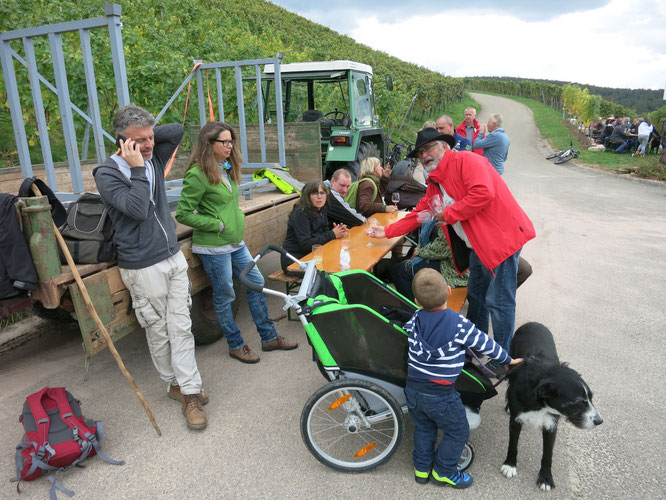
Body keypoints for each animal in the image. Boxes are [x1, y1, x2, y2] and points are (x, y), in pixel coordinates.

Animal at [498, 322, 600, 490]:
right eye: (579, 401)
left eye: (590, 398)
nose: (599, 421)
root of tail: (532, 323)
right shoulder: (516, 419)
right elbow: (513, 444)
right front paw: (510, 465)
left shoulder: (551, 423)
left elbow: (548, 454)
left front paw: (546, 478)